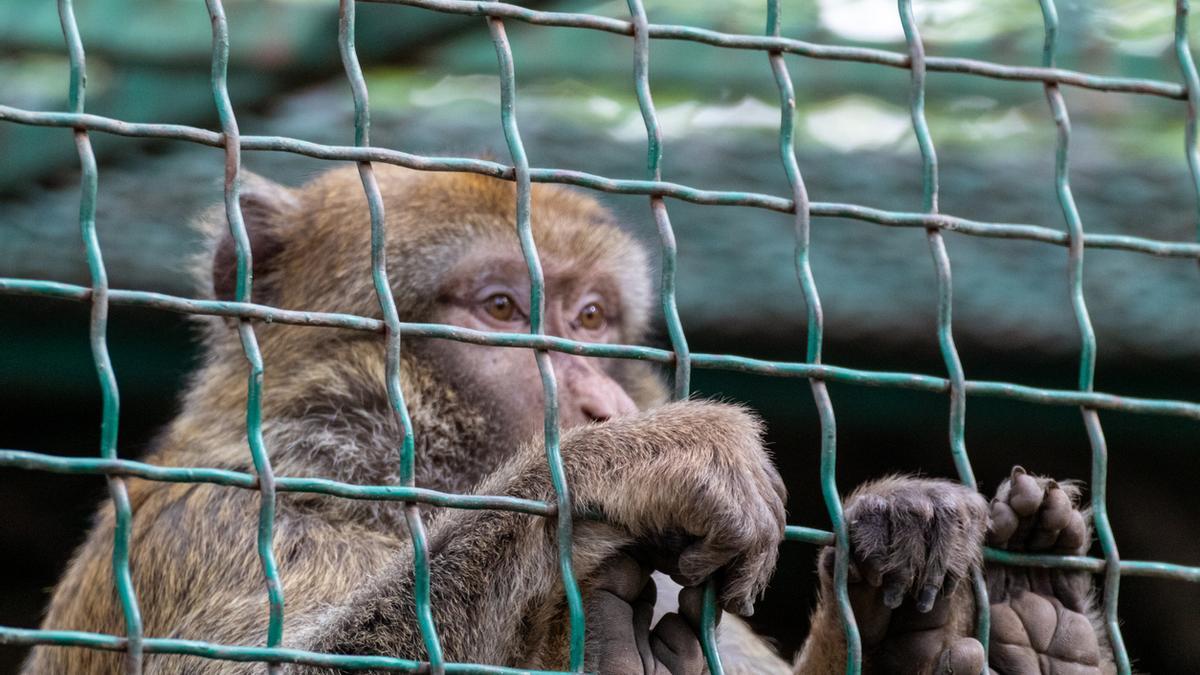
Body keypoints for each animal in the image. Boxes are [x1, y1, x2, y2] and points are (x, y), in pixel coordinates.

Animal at [25, 164, 1113, 672]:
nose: (598, 398)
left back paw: (1030, 626)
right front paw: (628, 456)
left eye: (589, 317)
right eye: (504, 310)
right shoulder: (218, 521)